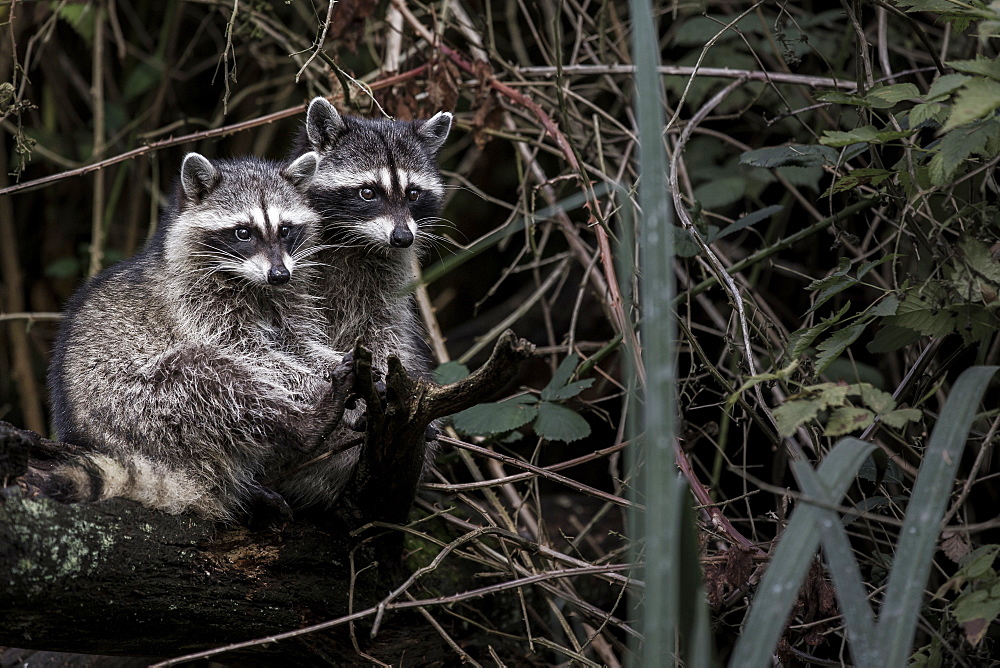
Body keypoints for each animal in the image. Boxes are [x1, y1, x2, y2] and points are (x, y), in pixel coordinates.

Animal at [47, 153, 348, 520]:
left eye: (285, 229)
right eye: (243, 232)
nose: (279, 274)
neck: (253, 285)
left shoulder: (288, 300)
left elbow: (298, 344)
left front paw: (344, 362)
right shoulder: (195, 305)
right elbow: (250, 354)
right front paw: (313, 381)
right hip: (140, 406)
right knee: (207, 375)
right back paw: (304, 423)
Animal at [280, 98, 456, 506]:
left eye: (413, 194)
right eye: (367, 192)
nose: (403, 237)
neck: (356, 241)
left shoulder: (387, 281)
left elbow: (383, 333)